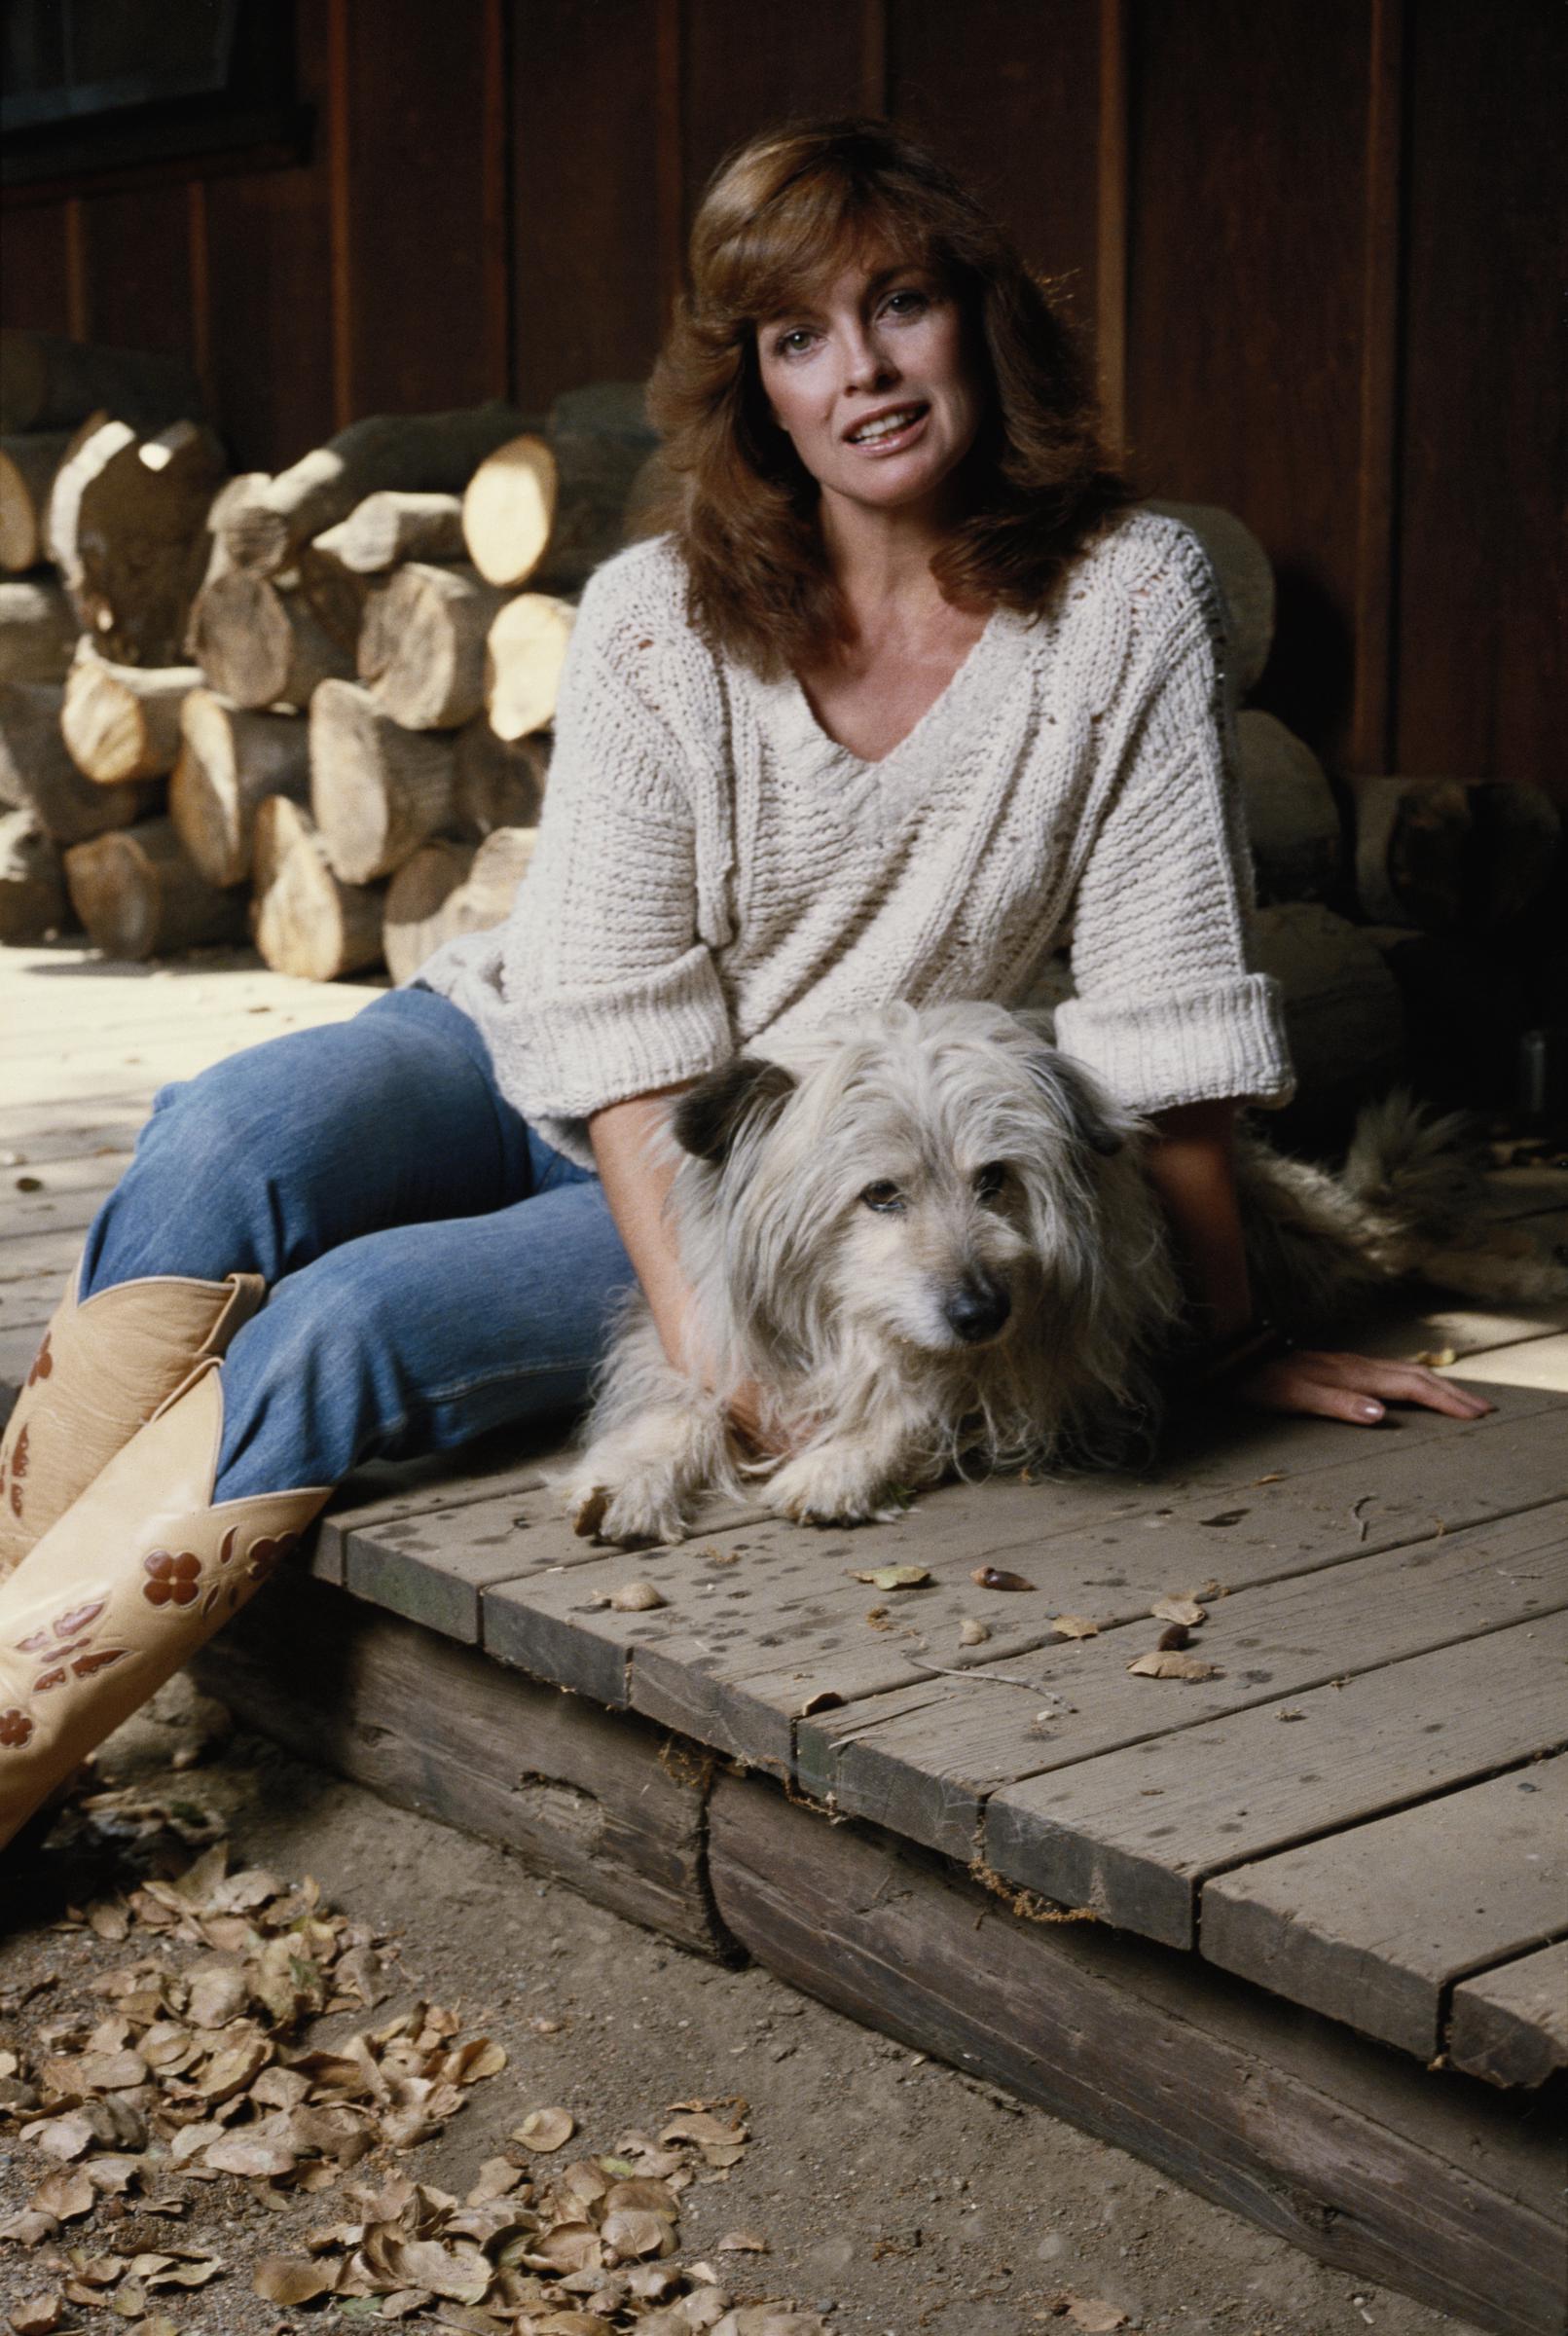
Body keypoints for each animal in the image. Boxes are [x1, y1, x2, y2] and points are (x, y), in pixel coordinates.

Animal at [565, 995, 1568, 1542]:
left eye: (994, 1179)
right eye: (879, 1195)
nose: (980, 1311)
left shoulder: (1053, 1365)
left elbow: (929, 1399)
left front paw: (845, 1460)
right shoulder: (695, 1333)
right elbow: (682, 1401)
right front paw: (633, 1474)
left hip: (1298, 1230)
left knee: (1395, 1238)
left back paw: (1520, 1276)